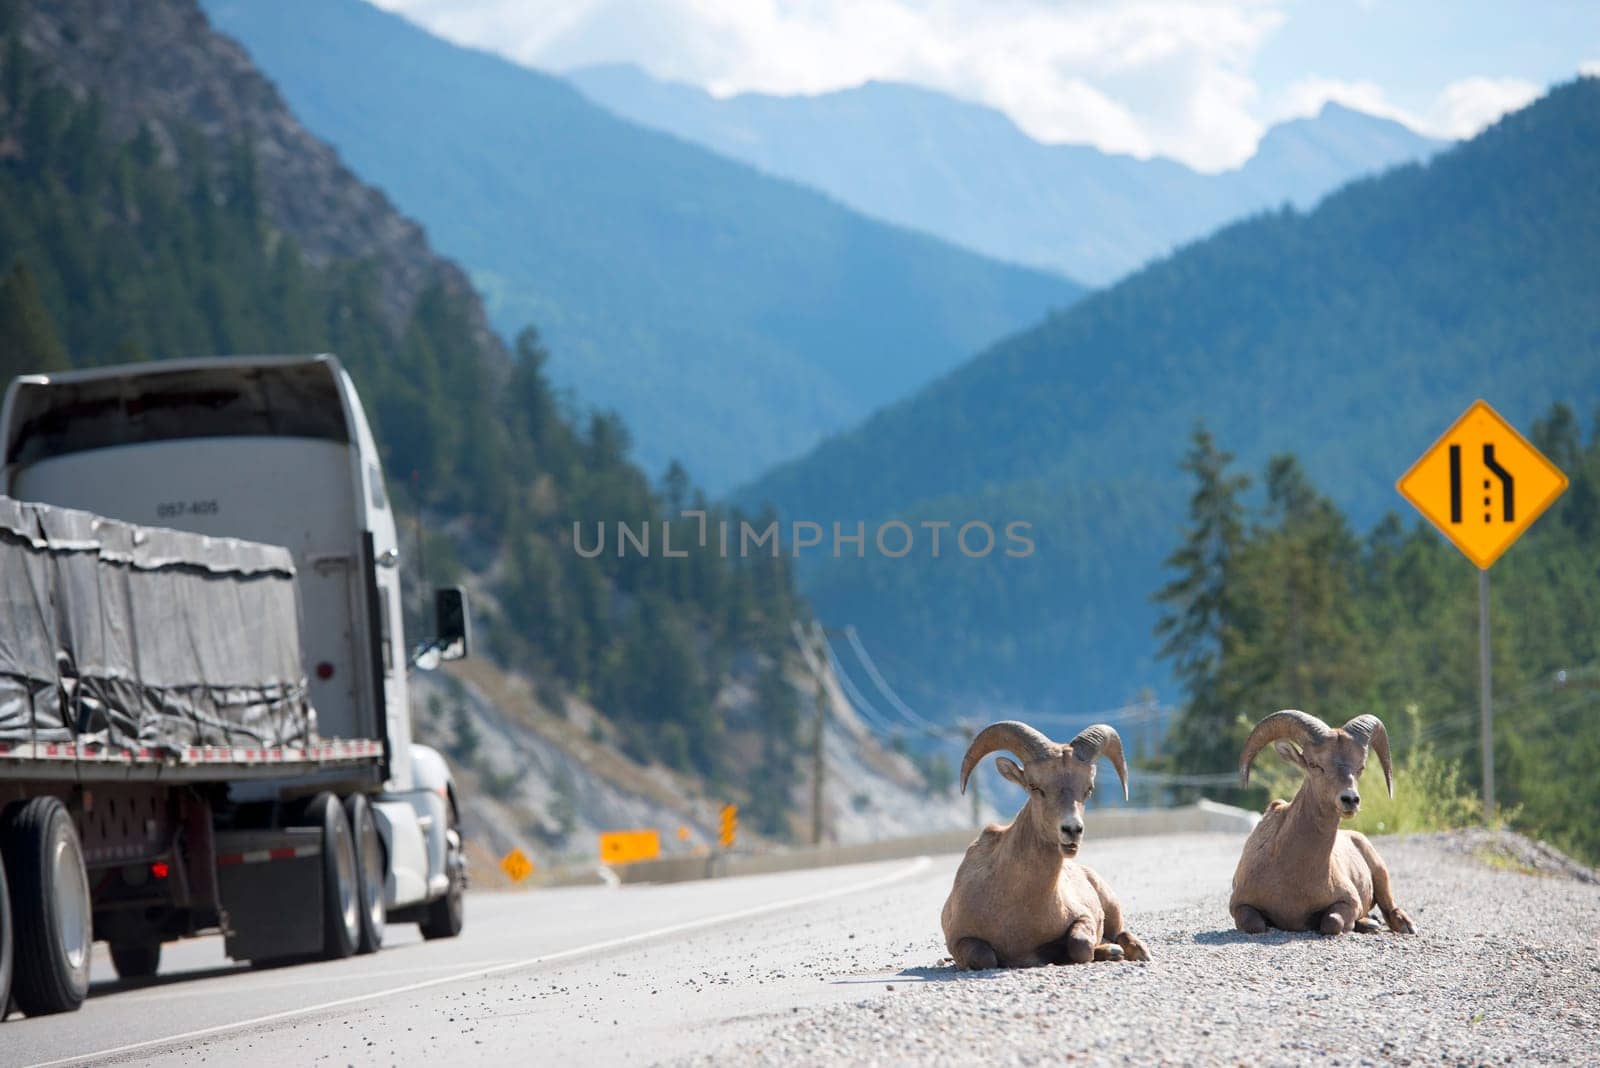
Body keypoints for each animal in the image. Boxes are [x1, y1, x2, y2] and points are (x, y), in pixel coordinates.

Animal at [934, 716, 1152, 965]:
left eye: (1088, 789)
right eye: (1034, 786)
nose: (1072, 830)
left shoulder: (1084, 916)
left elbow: (1081, 945)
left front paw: (1107, 951)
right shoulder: (960, 940)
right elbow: (985, 957)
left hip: (1110, 903)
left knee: (1120, 932)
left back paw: (1136, 951)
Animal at [1228, 709, 1420, 933]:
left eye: (1360, 767)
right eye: (1314, 764)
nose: (1350, 799)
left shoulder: (1349, 902)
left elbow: (1332, 922)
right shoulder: (1240, 905)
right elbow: (1256, 925)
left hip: (1380, 870)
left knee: (1389, 907)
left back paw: (1400, 925)